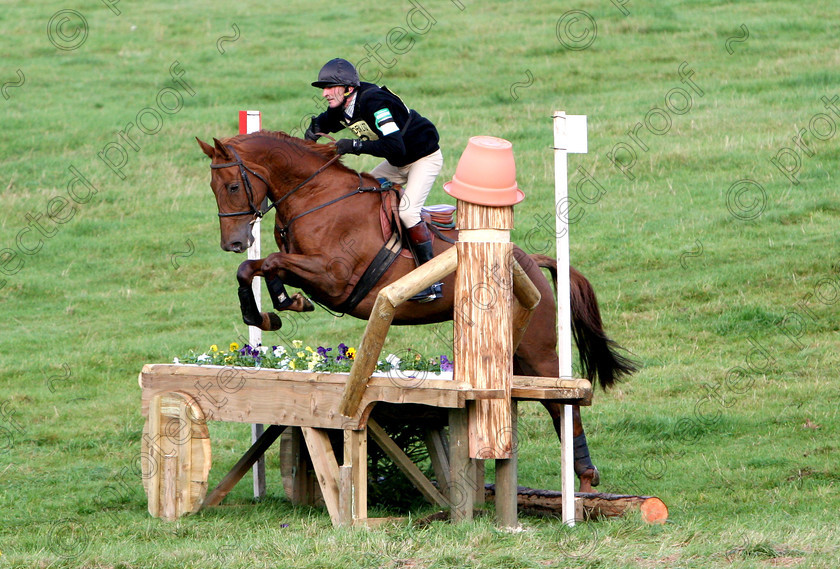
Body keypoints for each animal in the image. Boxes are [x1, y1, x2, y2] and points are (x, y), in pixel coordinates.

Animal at [194, 130, 632, 492]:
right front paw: (271, 312)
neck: (314, 196)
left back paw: (585, 476)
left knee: (562, 401)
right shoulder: (303, 267)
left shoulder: (334, 278)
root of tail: (531, 263)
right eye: (213, 189)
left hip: (536, 348)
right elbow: (256, 267)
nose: (233, 242)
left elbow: (268, 262)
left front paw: (281, 304)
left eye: (232, 185)